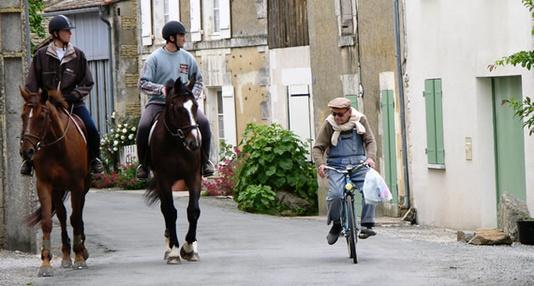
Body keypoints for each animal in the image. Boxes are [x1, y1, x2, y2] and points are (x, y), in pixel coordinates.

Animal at [20, 88, 91, 276]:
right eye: (23, 116)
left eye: (41, 117)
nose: (26, 152)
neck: (57, 148)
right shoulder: (44, 185)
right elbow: (47, 221)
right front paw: (45, 263)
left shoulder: (77, 185)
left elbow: (76, 218)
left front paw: (79, 257)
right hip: (58, 191)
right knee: (62, 215)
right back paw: (66, 256)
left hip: (82, 188)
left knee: (77, 215)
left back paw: (82, 249)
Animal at [146, 77, 204, 264]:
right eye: (178, 109)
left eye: (195, 106)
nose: (194, 143)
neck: (177, 144)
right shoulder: (164, 178)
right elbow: (170, 212)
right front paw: (174, 251)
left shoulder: (193, 176)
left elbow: (193, 211)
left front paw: (189, 248)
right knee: (165, 209)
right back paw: (168, 246)